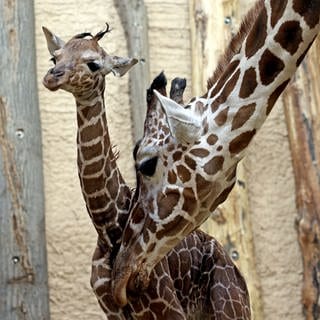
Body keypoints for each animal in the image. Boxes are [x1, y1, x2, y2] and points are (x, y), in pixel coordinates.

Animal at [42, 26, 251, 318]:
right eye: (55, 57)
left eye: (94, 63)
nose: (52, 77)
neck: (109, 225)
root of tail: (238, 274)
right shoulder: (113, 309)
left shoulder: (165, 306)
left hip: (230, 308)